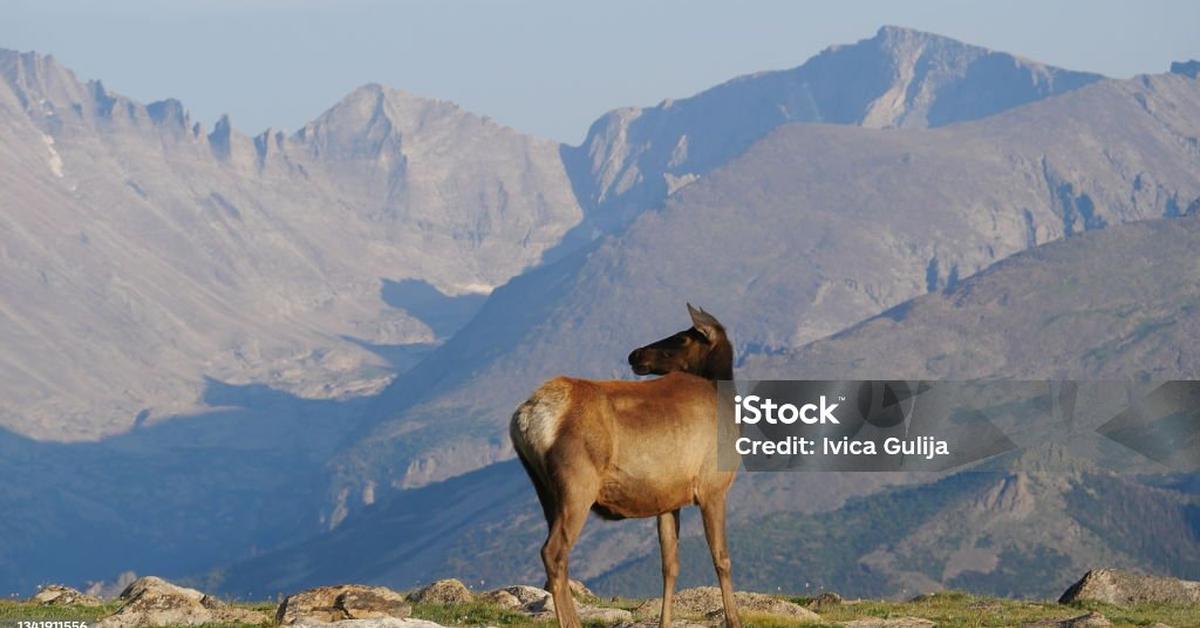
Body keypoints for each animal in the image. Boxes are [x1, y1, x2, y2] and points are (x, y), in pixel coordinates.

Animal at [508, 302, 739, 624]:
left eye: (682, 337)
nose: (635, 354)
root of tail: (526, 417)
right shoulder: (713, 487)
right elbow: (722, 558)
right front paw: (735, 620)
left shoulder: (668, 499)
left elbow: (670, 564)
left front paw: (664, 623)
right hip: (577, 483)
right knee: (553, 552)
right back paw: (573, 623)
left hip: (543, 487)